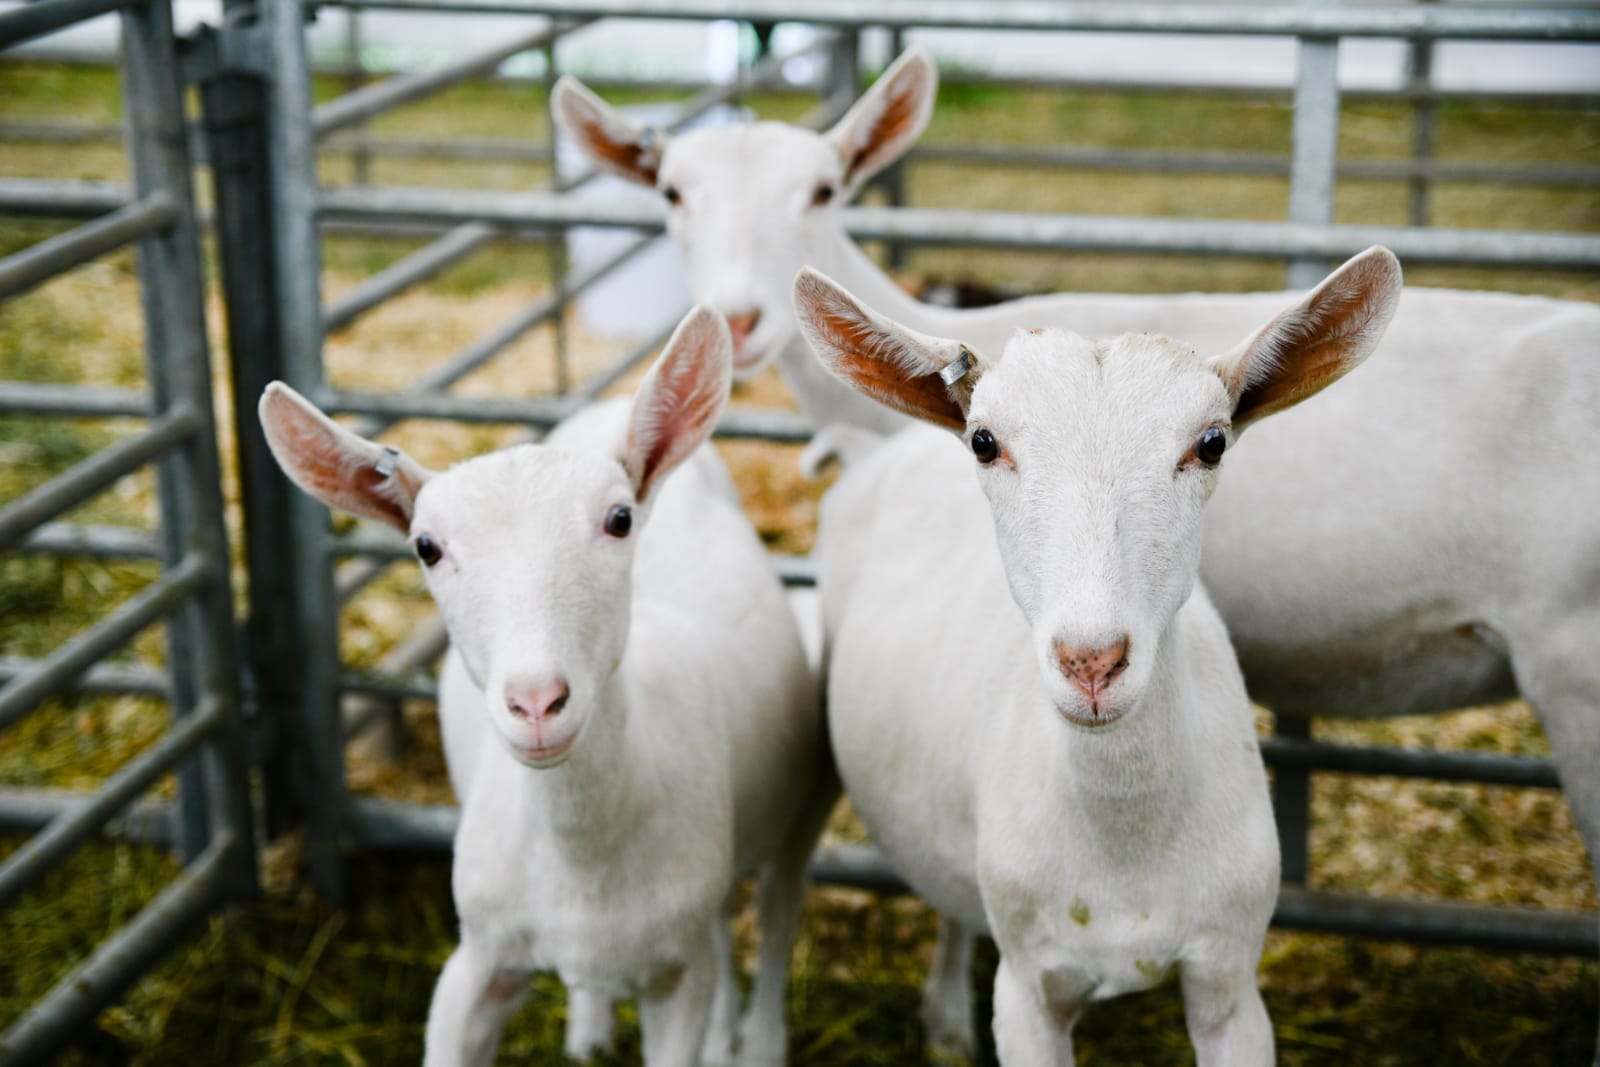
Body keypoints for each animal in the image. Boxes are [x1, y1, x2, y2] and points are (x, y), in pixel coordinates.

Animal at [256, 303, 832, 1062]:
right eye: (426, 546)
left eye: (619, 519)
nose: (536, 701)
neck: (579, 850)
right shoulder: (475, 961)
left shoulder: (675, 981)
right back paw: (592, 1032)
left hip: (801, 805)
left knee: (776, 913)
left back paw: (759, 1040)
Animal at [793, 247, 1408, 1062]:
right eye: (984, 441)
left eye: (1211, 442)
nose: (1091, 661)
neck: (1125, 839)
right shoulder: (1028, 992)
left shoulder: (1230, 980)